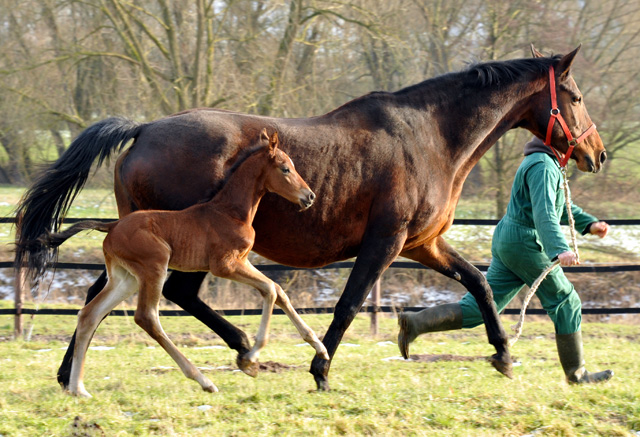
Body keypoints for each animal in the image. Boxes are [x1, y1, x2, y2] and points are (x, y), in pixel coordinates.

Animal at [35, 129, 324, 396]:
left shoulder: (242, 261)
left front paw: (318, 347)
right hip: (155, 267)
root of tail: (112, 225)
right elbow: (271, 289)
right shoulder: (225, 265)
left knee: (90, 314)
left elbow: (278, 290)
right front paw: (251, 358)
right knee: (146, 317)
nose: (309, 196)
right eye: (285, 168)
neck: (230, 212)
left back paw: (78, 388)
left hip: (125, 278)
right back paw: (203, 380)